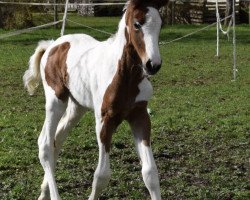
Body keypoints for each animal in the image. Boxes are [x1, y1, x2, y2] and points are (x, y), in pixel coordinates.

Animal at [23, 0, 168, 199]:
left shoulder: (140, 116)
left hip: (77, 107)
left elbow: (150, 173)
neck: (126, 77)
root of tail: (53, 45)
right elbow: (102, 176)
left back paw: (43, 192)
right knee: (45, 144)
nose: (153, 65)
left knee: (56, 140)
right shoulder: (104, 120)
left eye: (161, 24)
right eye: (137, 24)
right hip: (55, 101)